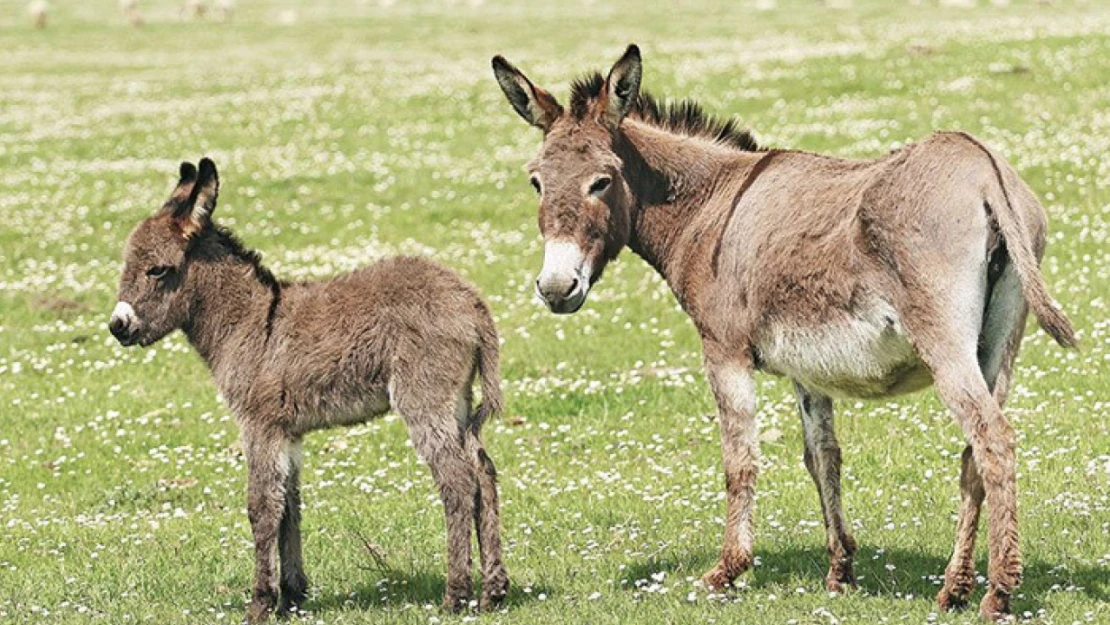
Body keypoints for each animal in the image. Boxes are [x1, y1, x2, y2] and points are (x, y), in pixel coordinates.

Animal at [108, 157, 508, 621]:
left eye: (157, 269)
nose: (118, 327)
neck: (251, 321)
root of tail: (473, 304)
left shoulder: (259, 425)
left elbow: (261, 507)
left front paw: (260, 604)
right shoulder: (288, 433)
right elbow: (289, 506)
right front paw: (292, 597)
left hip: (424, 399)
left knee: (458, 481)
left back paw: (456, 594)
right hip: (457, 401)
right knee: (483, 473)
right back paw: (493, 591)